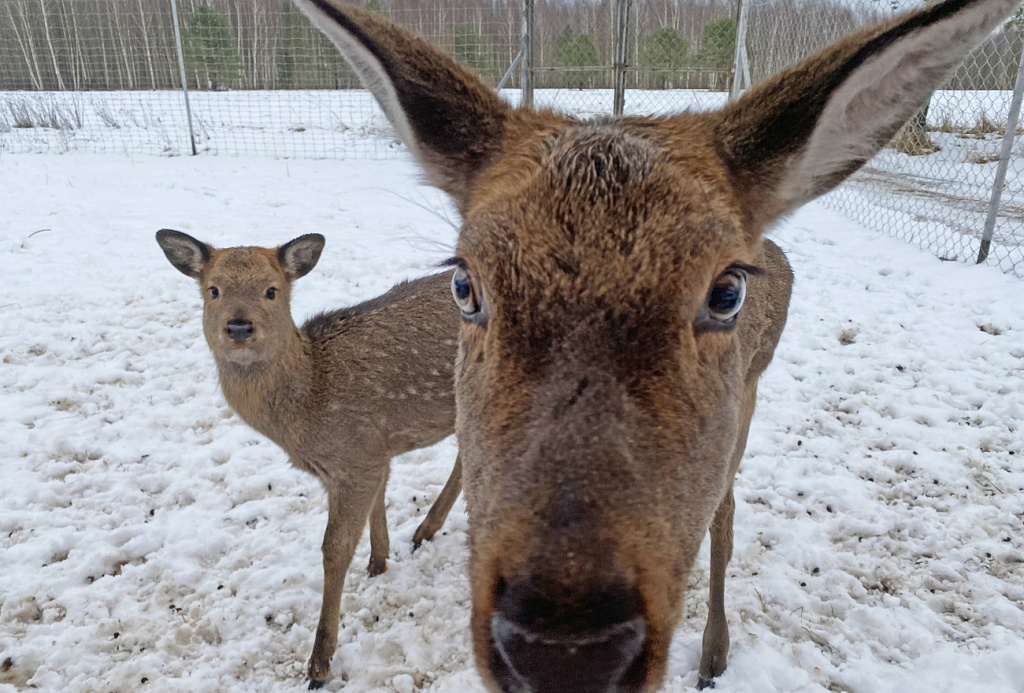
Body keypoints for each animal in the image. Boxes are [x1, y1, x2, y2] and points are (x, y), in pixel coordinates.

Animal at [154, 228, 464, 687]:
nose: (239, 326)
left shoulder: (356, 455)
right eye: (213, 290)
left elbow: (334, 549)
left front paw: (319, 664)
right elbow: (377, 505)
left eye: (271, 290)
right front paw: (379, 562)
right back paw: (425, 530)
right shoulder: (376, 450)